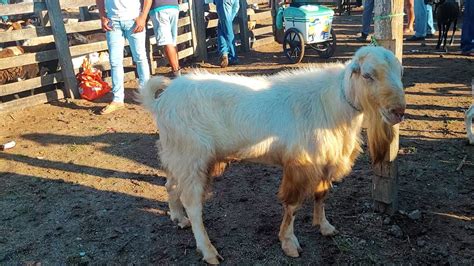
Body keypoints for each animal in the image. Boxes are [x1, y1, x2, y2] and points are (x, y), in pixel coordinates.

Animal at [139, 44, 406, 262]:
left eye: (400, 72)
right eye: (368, 75)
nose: (398, 111)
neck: (334, 101)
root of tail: (161, 101)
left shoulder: (324, 161)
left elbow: (321, 195)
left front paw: (325, 226)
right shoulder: (301, 164)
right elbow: (293, 206)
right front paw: (289, 243)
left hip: (178, 155)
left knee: (170, 185)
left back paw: (178, 219)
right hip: (192, 158)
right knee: (193, 204)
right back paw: (208, 251)